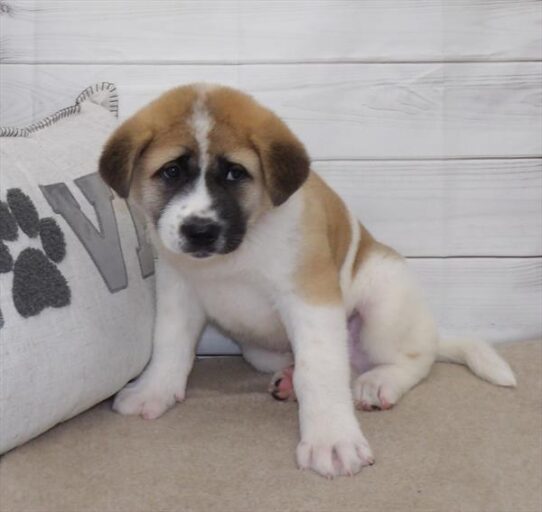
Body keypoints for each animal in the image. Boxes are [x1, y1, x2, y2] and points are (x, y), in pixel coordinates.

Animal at [99, 82, 520, 478]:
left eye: (235, 173)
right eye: (171, 172)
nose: (200, 231)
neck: (242, 247)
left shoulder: (310, 297)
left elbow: (320, 371)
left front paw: (331, 439)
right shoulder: (179, 292)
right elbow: (170, 347)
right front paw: (154, 390)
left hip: (384, 305)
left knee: (414, 359)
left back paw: (379, 382)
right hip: (258, 350)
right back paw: (288, 378)